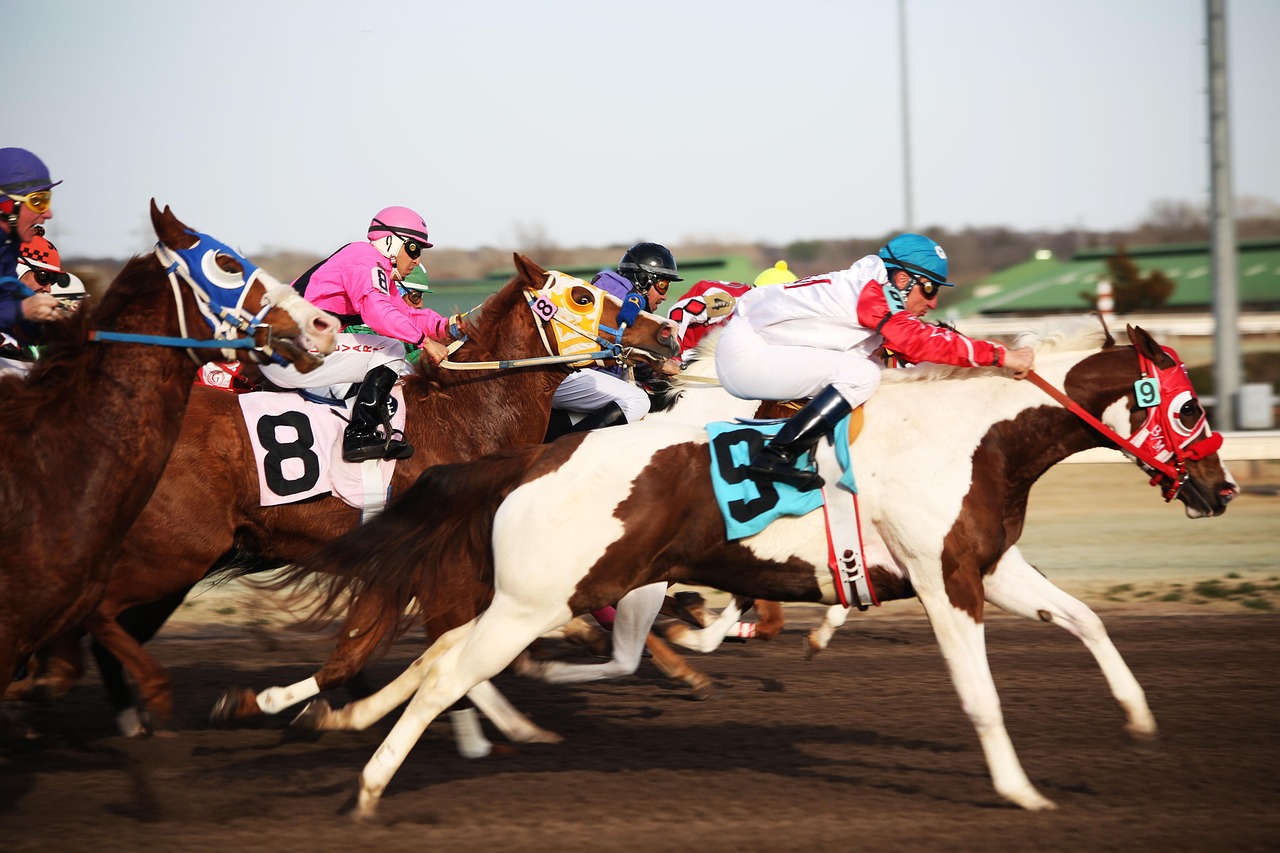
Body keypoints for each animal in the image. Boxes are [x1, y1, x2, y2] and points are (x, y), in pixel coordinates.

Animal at [15, 252, 680, 732]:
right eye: (584, 296)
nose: (669, 337)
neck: (465, 415)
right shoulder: (424, 561)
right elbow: (392, 652)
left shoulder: (402, 562)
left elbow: (365, 654)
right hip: (175, 551)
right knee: (92, 608)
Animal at [264, 320, 1233, 819]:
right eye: (1189, 405)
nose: (1219, 489)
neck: (974, 437)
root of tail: (531, 458)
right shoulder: (944, 580)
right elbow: (981, 694)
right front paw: (1020, 789)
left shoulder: (988, 566)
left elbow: (1086, 617)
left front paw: (1139, 718)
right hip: (538, 596)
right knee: (445, 673)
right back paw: (370, 781)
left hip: (539, 592)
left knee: (439, 657)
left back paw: (331, 717)